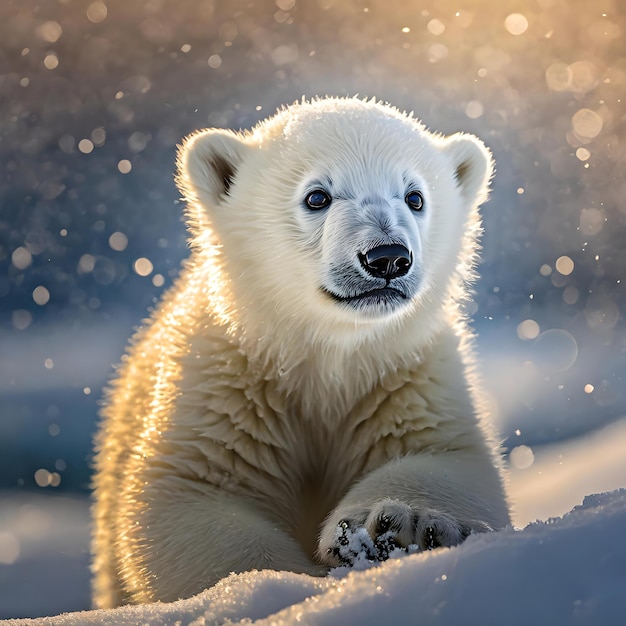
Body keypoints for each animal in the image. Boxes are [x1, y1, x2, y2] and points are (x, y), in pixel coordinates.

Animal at [90, 96, 508, 604]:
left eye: (415, 197)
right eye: (317, 197)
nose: (387, 257)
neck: (324, 358)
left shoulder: (407, 376)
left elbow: (453, 459)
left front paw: (393, 526)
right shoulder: (222, 387)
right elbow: (186, 497)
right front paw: (280, 585)